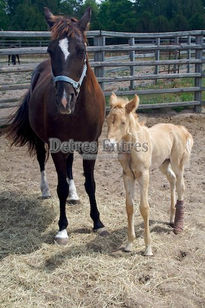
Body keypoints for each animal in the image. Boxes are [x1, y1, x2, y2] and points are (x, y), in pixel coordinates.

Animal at [6, 6, 106, 243]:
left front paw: (97, 222)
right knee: (41, 162)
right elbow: (60, 186)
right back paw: (45, 190)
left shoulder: (91, 146)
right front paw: (62, 228)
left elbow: (91, 184)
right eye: (50, 51)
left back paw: (74, 194)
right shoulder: (56, 147)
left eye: (82, 50)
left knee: (69, 167)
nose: (63, 101)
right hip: (41, 141)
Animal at [106, 93, 193, 255]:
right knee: (171, 179)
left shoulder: (144, 175)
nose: (108, 145)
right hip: (163, 164)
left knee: (181, 186)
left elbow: (144, 208)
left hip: (178, 164)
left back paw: (178, 225)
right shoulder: (127, 176)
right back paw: (171, 218)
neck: (132, 148)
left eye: (123, 122)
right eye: (108, 120)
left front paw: (148, 247)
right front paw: (129, 244)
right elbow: (129, 206)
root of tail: (181, 128)